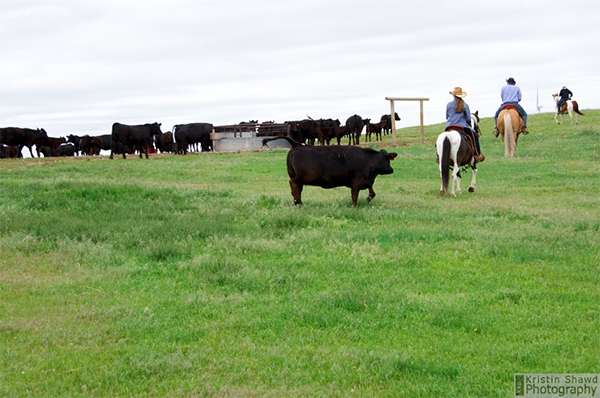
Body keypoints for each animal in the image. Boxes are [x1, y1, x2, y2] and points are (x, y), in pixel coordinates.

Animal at [262, 137, 398, 207]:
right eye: (388, 159)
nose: (391, 170)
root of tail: (298, 145)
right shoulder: (356, 182)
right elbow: (354, 196)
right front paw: (355, 207)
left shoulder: (367, 180)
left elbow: (372, 192)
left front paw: (368, 197)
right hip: (304, 176)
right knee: (293, 184)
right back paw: (298, 203)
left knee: (297, 189)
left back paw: (297, 202)